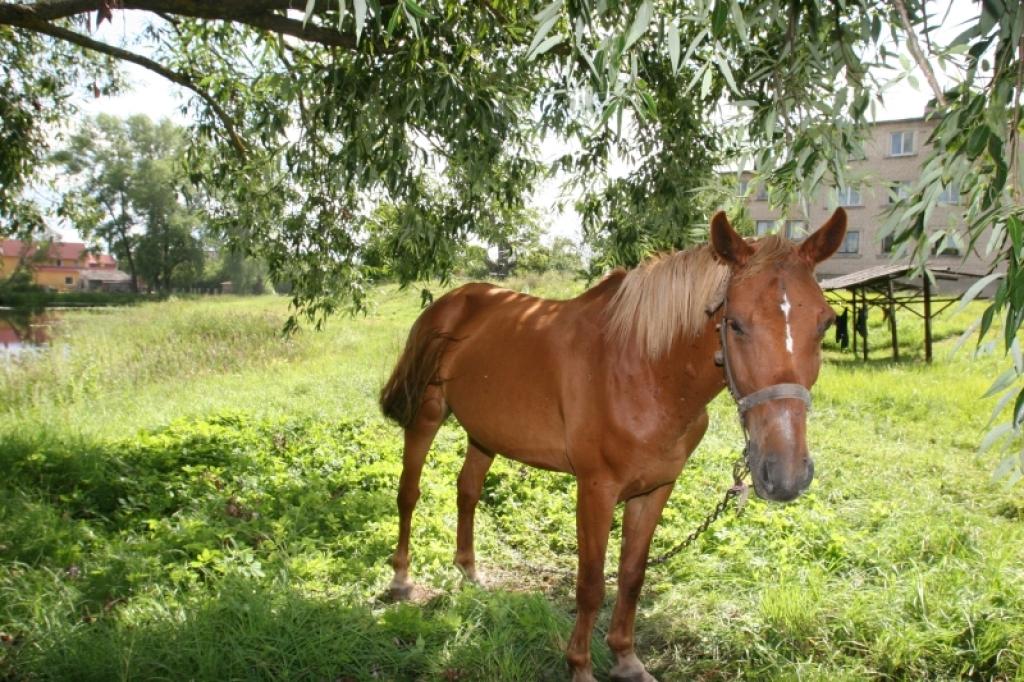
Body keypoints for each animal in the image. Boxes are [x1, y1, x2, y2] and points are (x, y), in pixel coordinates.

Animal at [380, 209, 843, 675]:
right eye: (735, 323)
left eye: (825, 322)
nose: (785, 474)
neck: (643, 370)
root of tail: (450, 303)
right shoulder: (595, 490)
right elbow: (590, 584)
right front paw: (580, 666)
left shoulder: (656, 489)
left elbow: (632, 575)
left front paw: (626, 659)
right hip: (426, 416)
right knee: (408, 493)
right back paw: (401, 580)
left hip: (483, 433)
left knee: (468, 491)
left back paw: (469, 574)